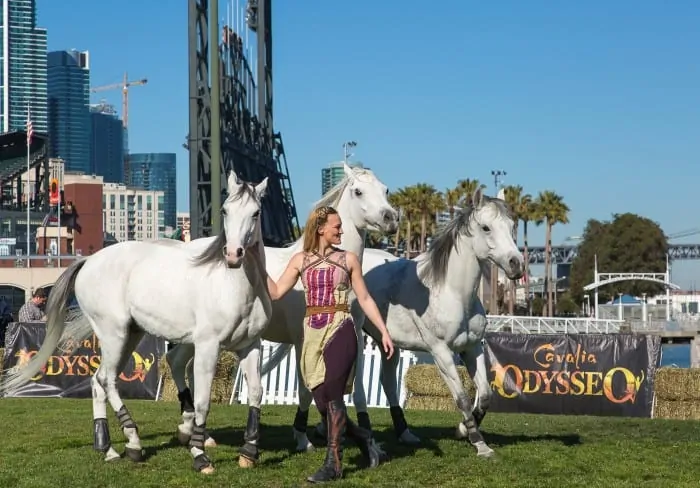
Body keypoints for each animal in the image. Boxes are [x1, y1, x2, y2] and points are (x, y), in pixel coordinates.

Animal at [0, 173, 270, 474]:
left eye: (256, 213)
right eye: (224, 210)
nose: (233, 254)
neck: (236, 287)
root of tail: (89, 260)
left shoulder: (250, 346)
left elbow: (256, 392)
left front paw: (249, 452)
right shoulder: (208, 347)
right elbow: (202, 401)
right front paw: (200, 456)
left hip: (130, 336)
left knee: (99, 380)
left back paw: (107, 447)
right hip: (113, 334)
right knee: (106, 379)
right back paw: (133, 442)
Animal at [161, 165, 396, 458]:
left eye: (385, 189)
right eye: (358, 191)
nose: (391, 218)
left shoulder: (354, 336)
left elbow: (358, 391)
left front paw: (369, 442)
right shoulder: (302, 339)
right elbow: (306, 389)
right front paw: (303, 438)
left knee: (184, 366)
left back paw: (197, 431)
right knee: (177, 363)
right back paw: (192, 430)